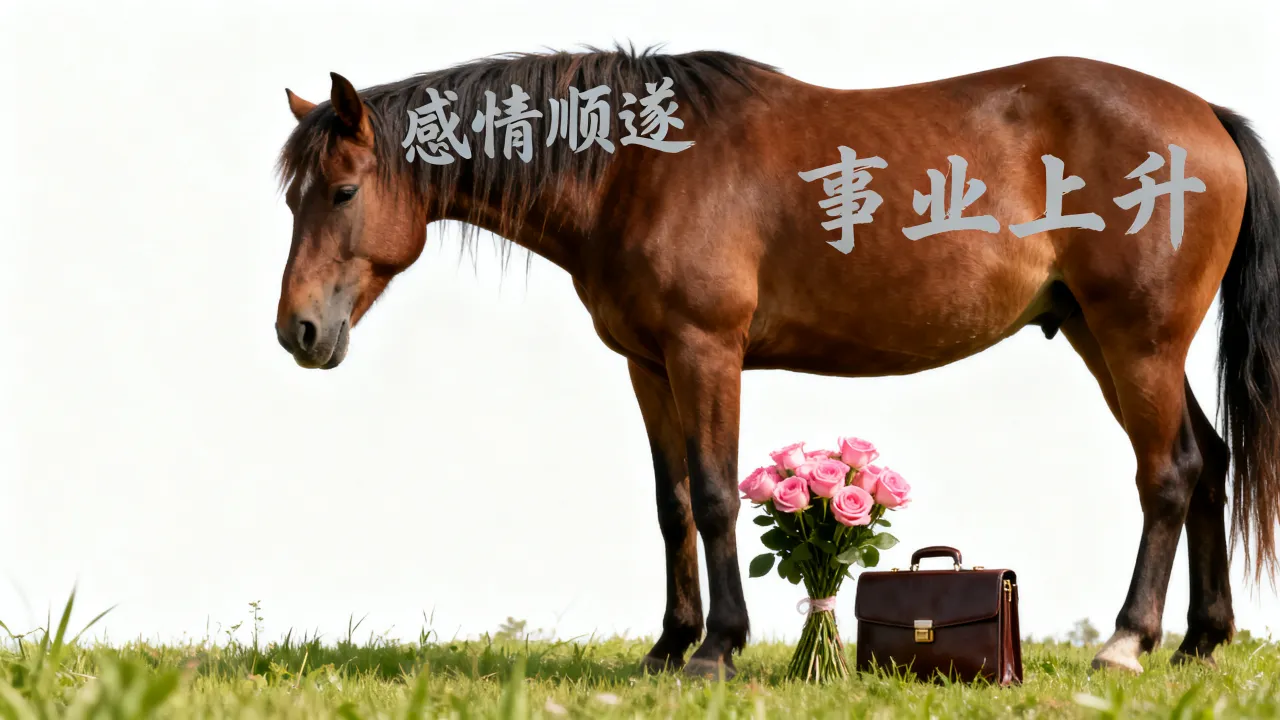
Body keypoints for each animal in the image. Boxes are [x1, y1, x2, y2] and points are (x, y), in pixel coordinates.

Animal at [272, 46, 1280, 679]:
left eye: (344, 191)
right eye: (292, 198)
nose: (298, 333)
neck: (637, 171)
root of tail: (1206, 114)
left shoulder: (706, 351)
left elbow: (719, 495)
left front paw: (719, 648)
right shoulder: (649, 365)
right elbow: (674, 502)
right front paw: (668, 646)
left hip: (1138, 340)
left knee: (1169, 472)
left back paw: (1127, 642)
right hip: (1099, 337)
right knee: (1211, 463)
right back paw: (1200, 643)